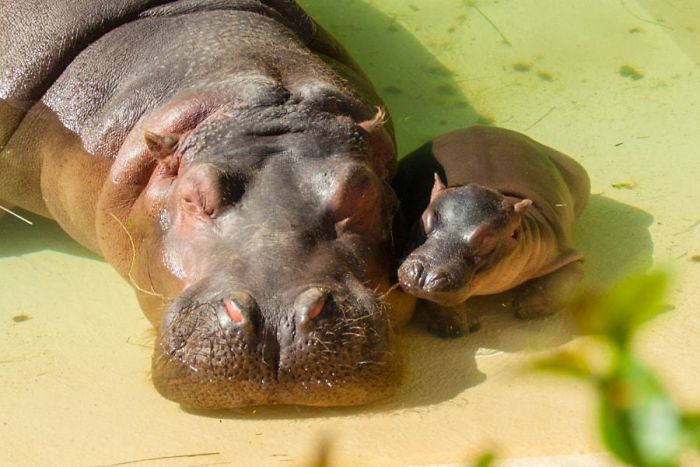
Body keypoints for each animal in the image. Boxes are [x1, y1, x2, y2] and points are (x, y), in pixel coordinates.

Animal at [393, 126, 590, 337]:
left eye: (487, 240)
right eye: (426, 217)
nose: (424, 277)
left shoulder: (560, 251)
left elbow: (568, 277)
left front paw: (525, 306)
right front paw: (460, 325)